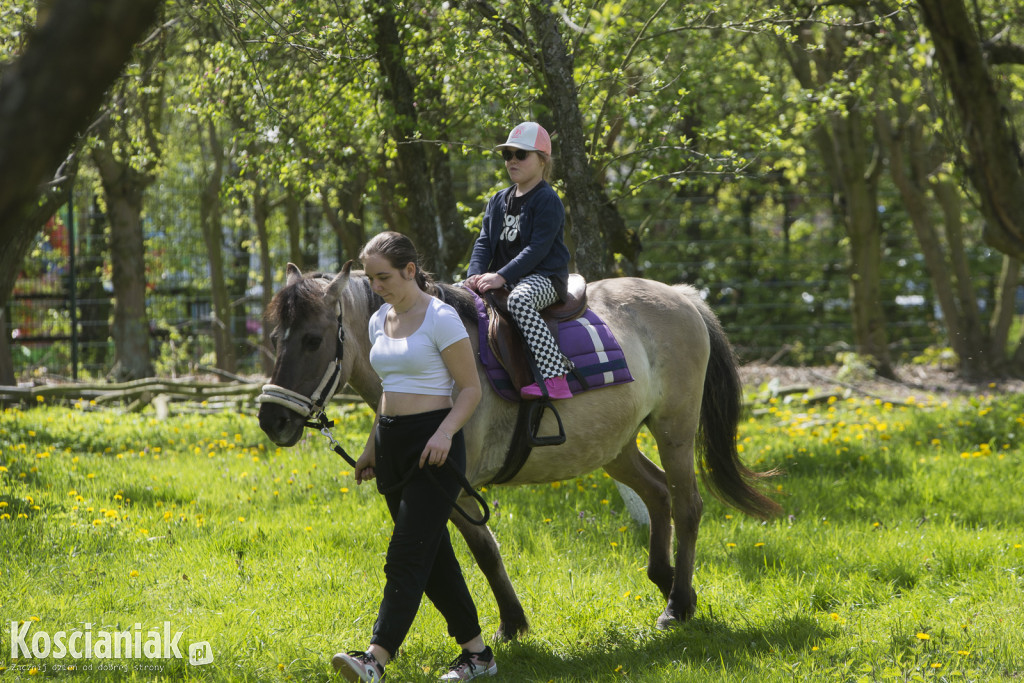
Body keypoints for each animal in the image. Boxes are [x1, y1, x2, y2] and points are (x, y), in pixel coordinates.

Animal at [256, 264, 774, 638]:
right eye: (276, 338)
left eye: (313, 339)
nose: (272, 419)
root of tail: (683, 296)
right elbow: (476, 552)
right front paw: (511, 621)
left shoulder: (455, 485)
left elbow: (484, 551)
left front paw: (512, 623)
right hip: (617, 446)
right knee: (657, 494)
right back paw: (667, 583)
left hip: (674, 430)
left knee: (687, 505)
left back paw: (677, 604)